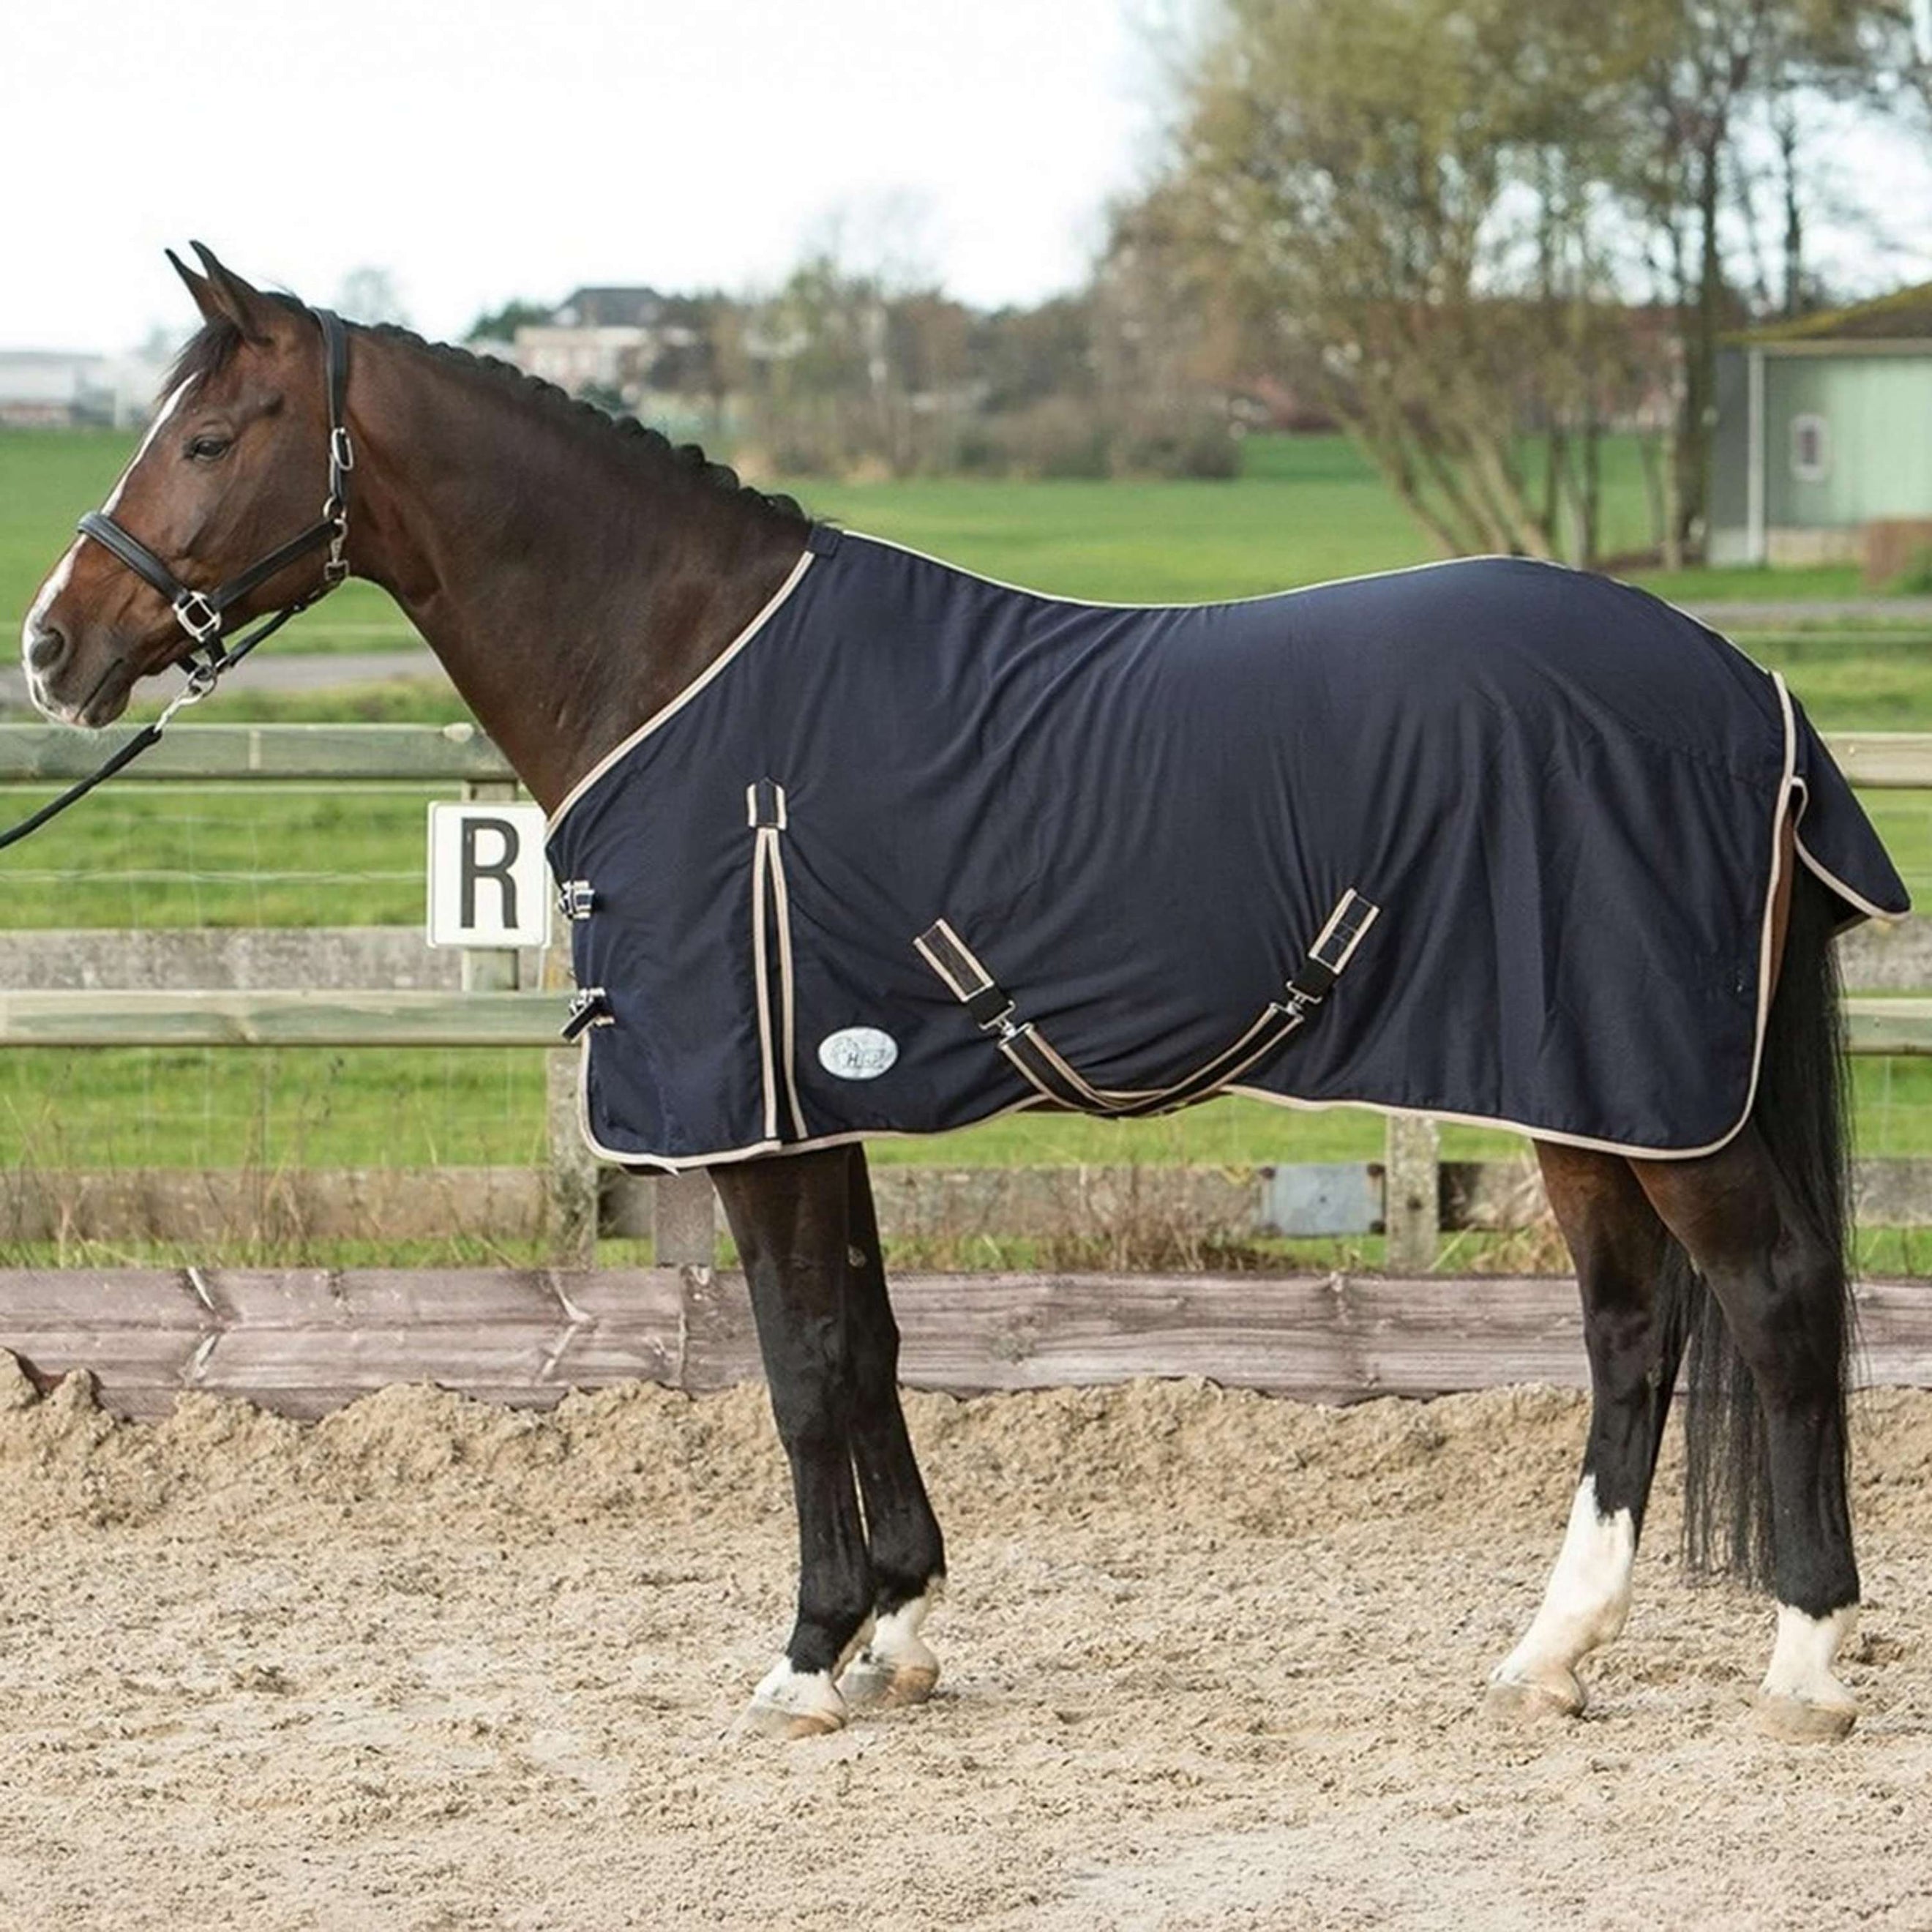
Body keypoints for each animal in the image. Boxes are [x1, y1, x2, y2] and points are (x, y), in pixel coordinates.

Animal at [19, 246, 1907, 1745]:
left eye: (205, 436)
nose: (53, 646)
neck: (682, 669)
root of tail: (1747, 690)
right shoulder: (816, 1099)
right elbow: (862, 1343)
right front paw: (903, 1625)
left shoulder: (751, 1115)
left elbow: (797, 1367)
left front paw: (805, 1657)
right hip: (1581, 1084)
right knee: (1634, 1331)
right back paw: (1550, 1656)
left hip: (1653, 1090)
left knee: (1776, 1298)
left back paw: (1807, 1666)